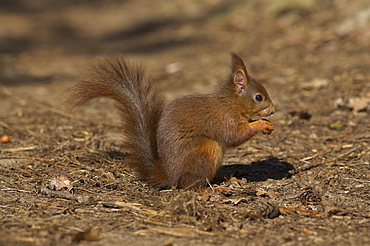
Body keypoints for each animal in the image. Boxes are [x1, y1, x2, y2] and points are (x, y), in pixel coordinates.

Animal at [66, 52, 274, 189]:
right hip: (205, 151)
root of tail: (170, 176)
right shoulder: (223, 118)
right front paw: (261, 124)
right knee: (191, 185)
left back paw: (225, 180)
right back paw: (212, 188)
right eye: (258, 97)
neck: (231, 102)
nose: (273, 110)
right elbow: (234, 136)